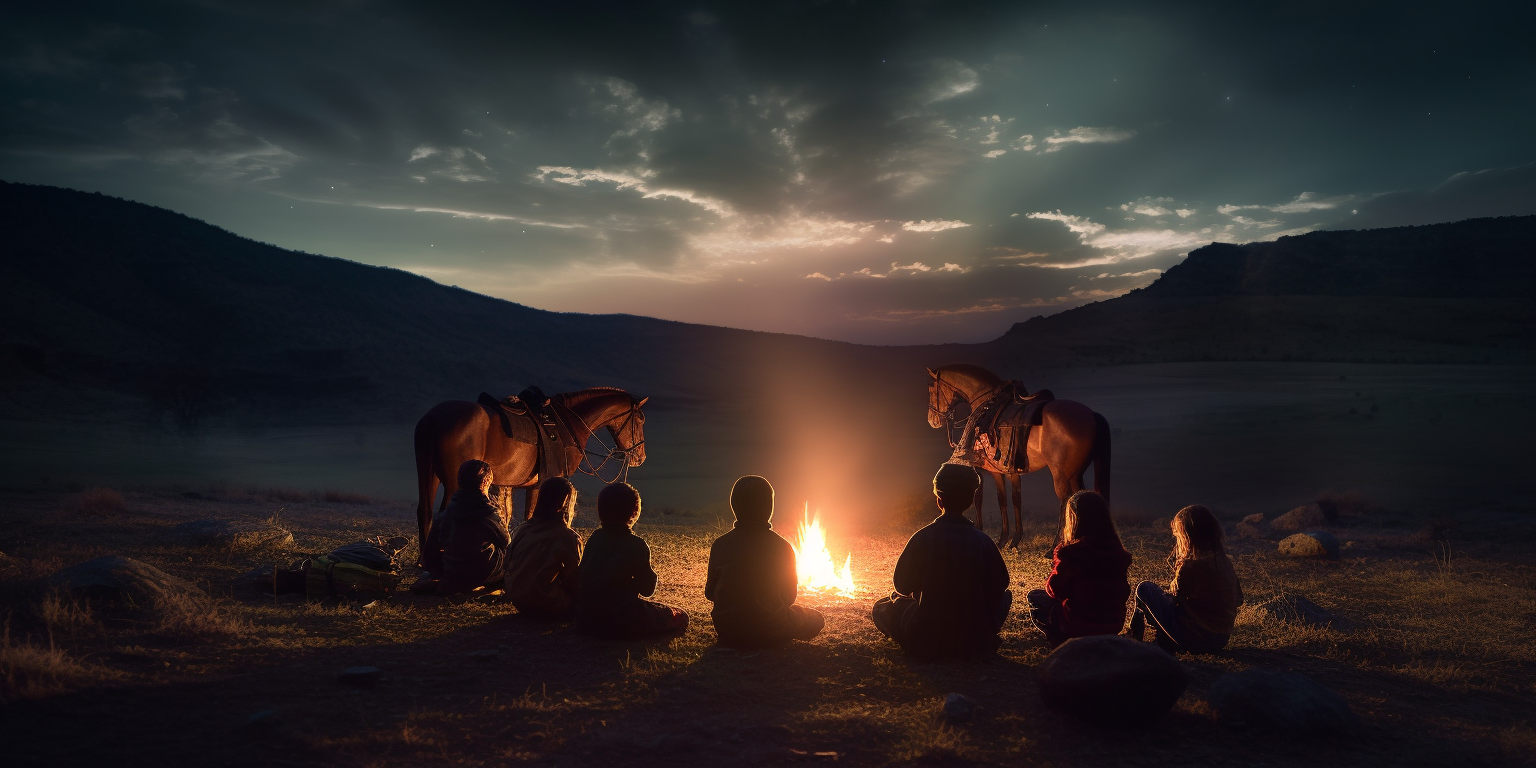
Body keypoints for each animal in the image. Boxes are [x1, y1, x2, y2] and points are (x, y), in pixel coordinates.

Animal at [411, 387, 645, 562]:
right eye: (640, 420)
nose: (640, 457)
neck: (567, 424)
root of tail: (434, 418)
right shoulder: (544, 482)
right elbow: (532, 517)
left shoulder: (510, 485)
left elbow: (507, 517)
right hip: (452, 484)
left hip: (428, 476)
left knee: (425, 513)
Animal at [921, 364, 1105, 549]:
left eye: (931, 386)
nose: (932, 420)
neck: (986, 404)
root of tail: (1090, 414)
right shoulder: (1009, 470)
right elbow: (1011, 499)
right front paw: (1011, 539)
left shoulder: (988, 470)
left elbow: (985, 498)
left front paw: (988, 532)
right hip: (1075, 474)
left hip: (1061, 476)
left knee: (1065, 499)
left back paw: (1053, 547)